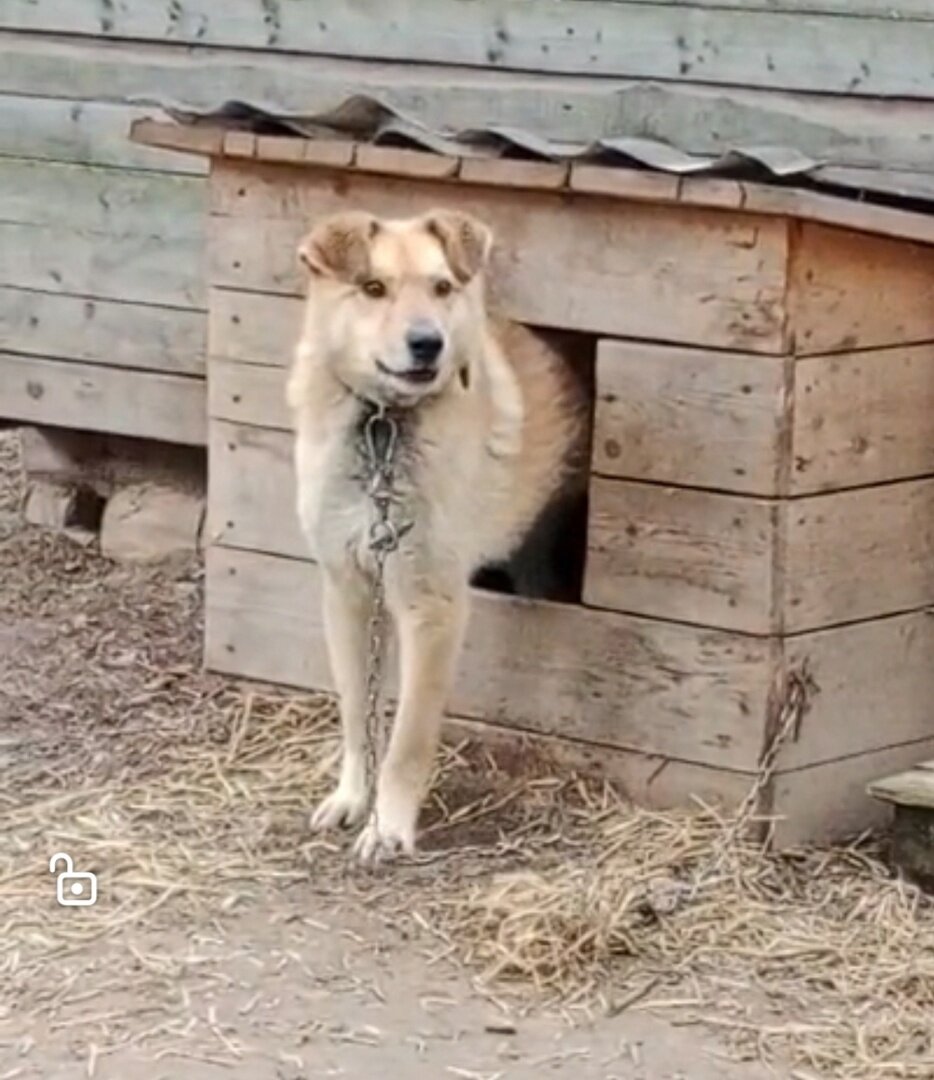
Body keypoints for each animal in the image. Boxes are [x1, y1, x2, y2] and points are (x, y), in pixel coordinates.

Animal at [287, 210, 587, 864]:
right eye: (373, 288)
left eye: (442, 287)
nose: (428, 343)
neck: (383, 428)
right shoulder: (346, 592)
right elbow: (357, 711)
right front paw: (353, 797)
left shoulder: (433, 608)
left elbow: (408, 739)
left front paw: (389, 826)